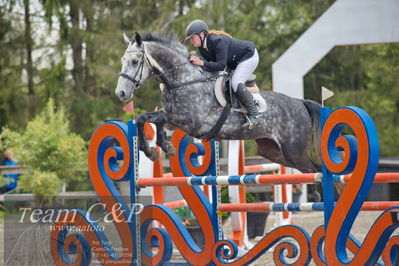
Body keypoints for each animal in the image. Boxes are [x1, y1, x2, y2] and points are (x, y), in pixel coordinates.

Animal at [115, 32, 322, 172]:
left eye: (134, 61)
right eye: (122, 60)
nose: (121, 93)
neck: (182, 79)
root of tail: (299, 103)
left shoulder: (188, 121)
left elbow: (154, 118)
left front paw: (159, 148)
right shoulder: (172, 118)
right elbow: (147, 118)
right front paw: (157, 149)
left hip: (295, 152)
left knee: (317, 171)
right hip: (272, 151)